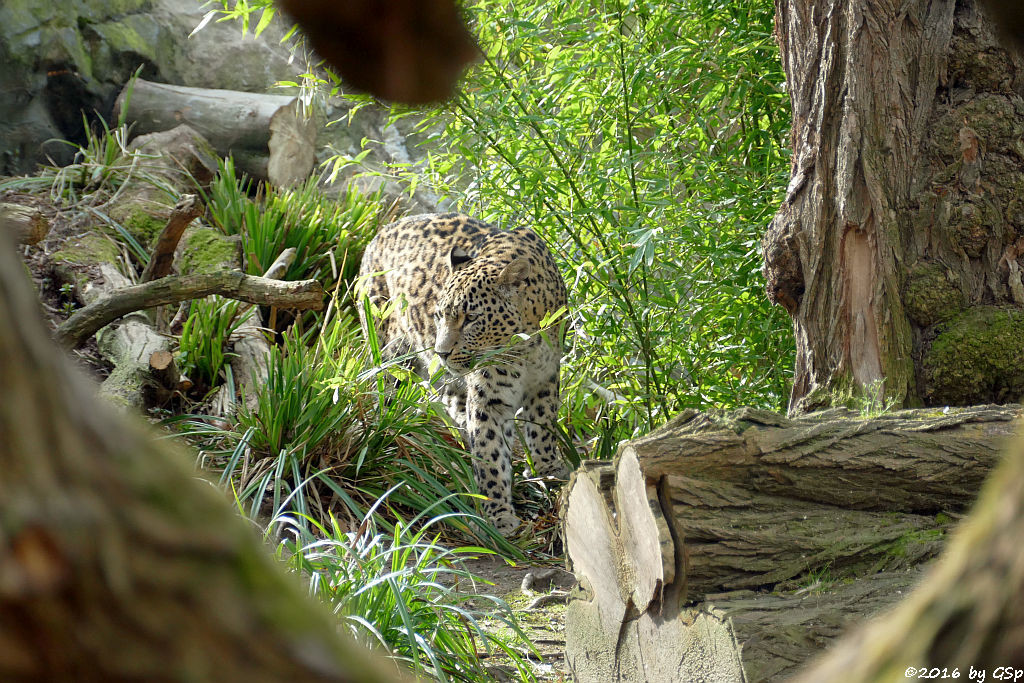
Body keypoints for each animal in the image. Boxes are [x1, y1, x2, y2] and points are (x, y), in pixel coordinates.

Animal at [358, 211, 569, 532]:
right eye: (439, 315)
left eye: (471, 318)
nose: (441, 352)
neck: (526, 346)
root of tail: (379, 234)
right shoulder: (490, 398)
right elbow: (489, 451)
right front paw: (498, 514)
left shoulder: (546, 379)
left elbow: (542, 425)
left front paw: (550, 468)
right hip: (391, 350)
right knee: (387, 395)